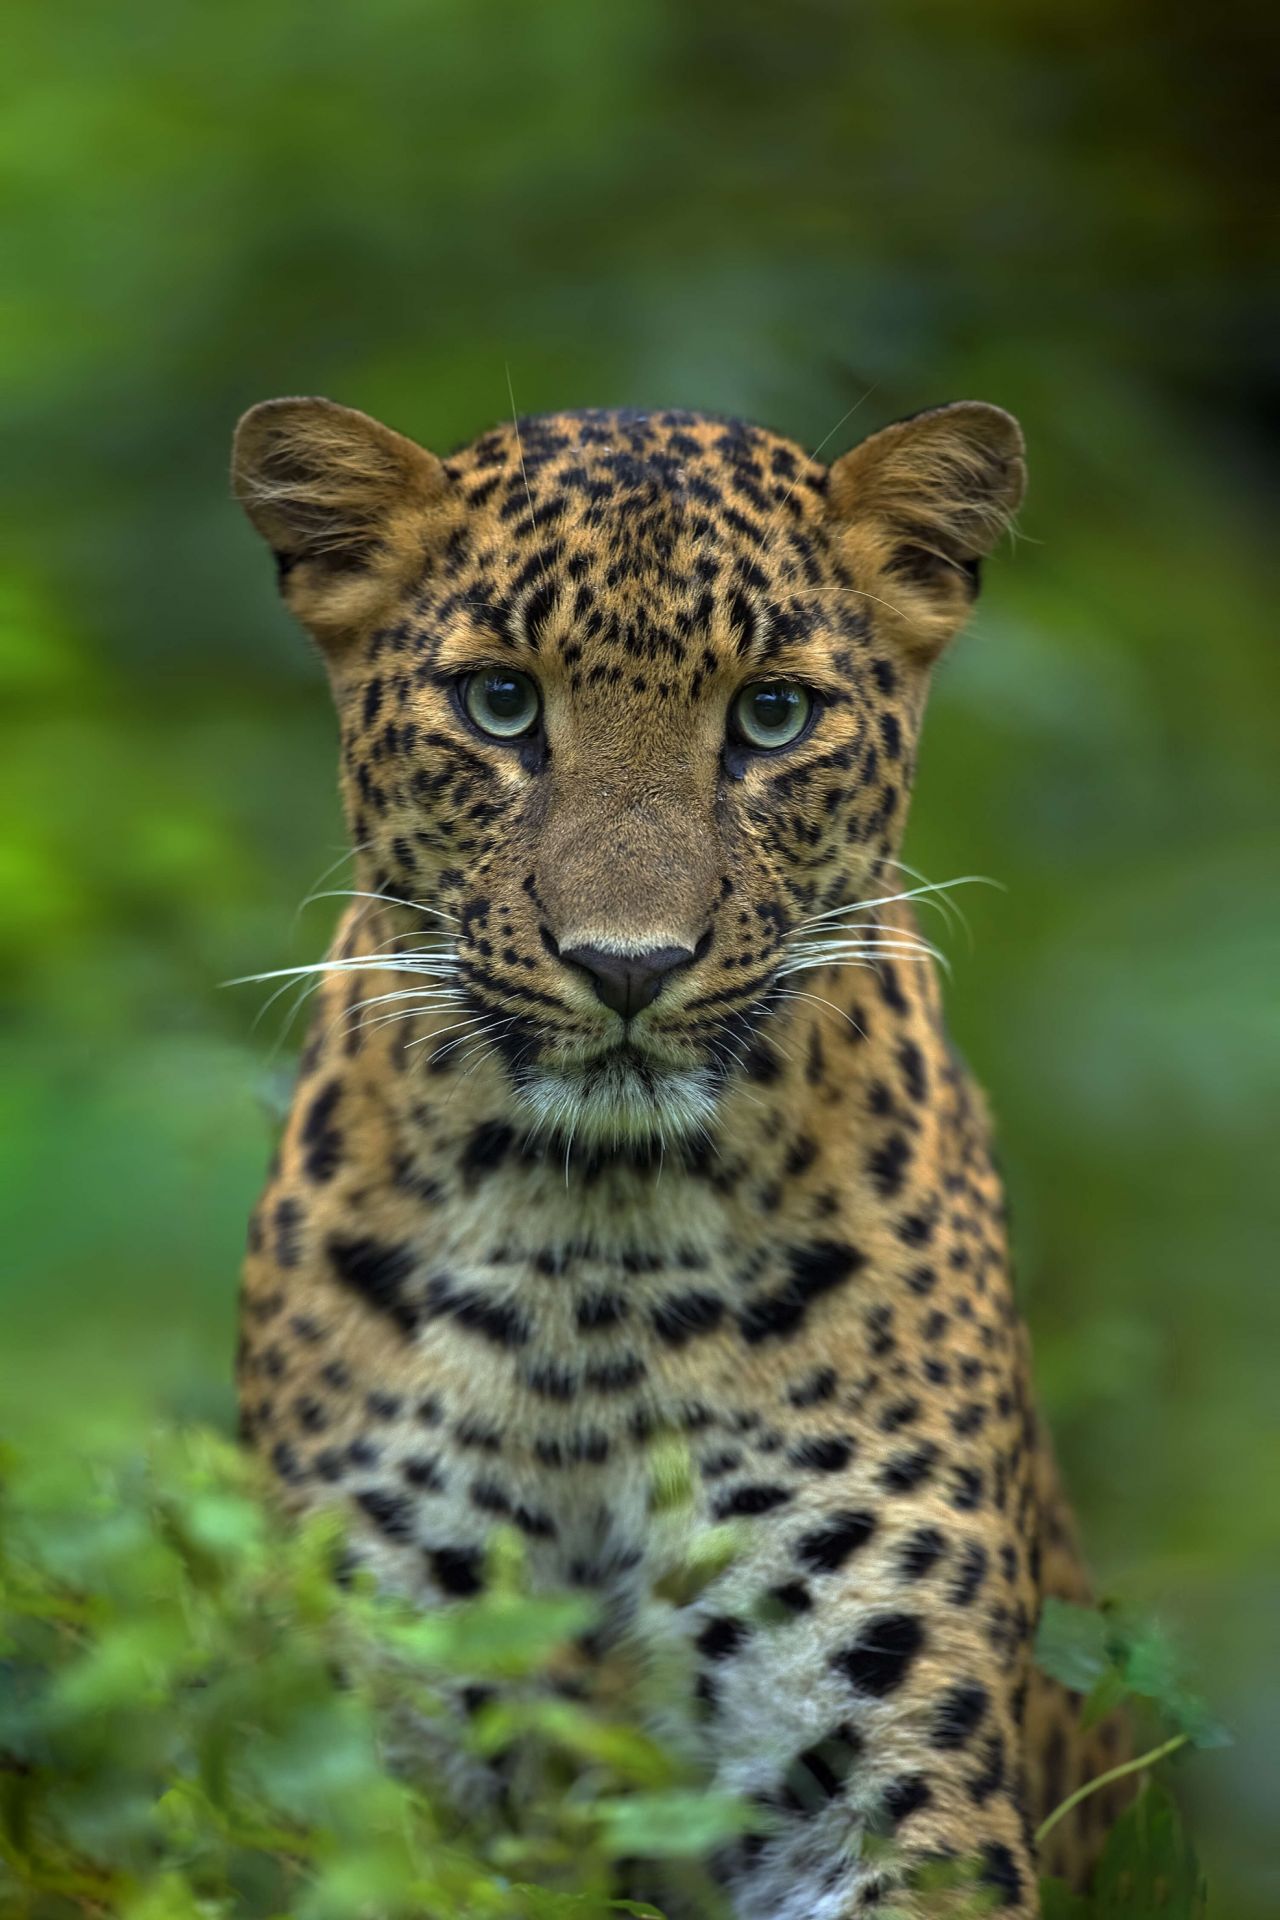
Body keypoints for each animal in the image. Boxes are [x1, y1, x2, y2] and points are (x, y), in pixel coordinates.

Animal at [231, 393, 1126, 1918]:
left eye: (772, 715)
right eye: (501, 703)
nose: (627, 965)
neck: (594, 1253)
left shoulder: (886, 1781)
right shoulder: (361, 1728)